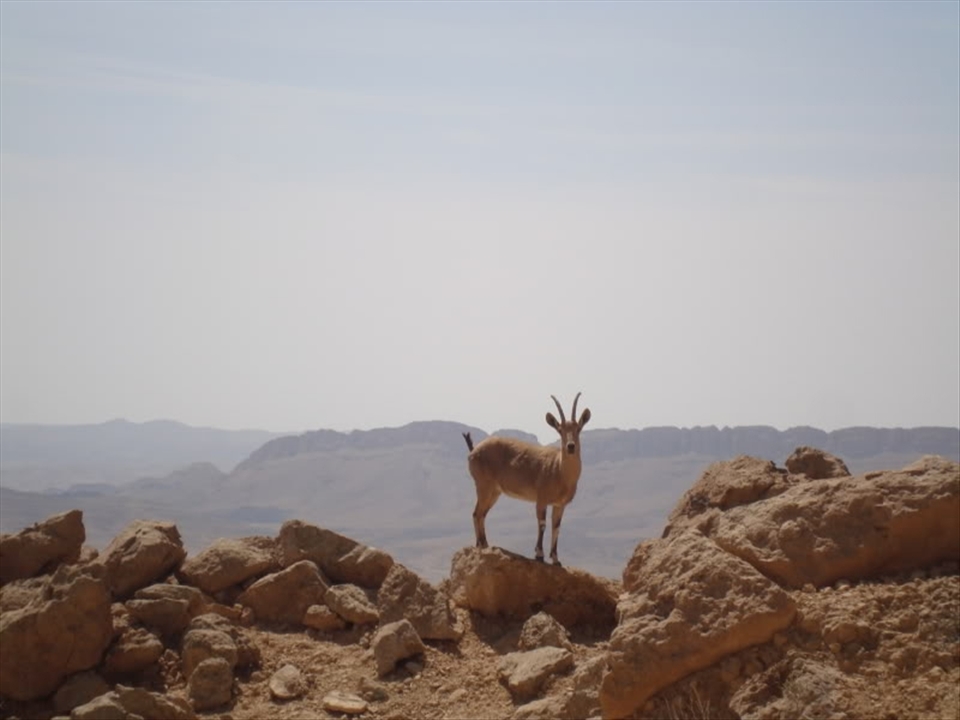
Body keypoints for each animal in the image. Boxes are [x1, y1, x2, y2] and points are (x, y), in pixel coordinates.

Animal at [462, 393, 591, 566]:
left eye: (578, 428)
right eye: (560, 430)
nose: (570, 446)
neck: (559, 470)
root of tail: (473, 450)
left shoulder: (560, 504)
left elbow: (556, 527)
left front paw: (556, 559)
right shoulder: (541, 499)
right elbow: (542, 524)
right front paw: (539, 555)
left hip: (494, 492)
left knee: (481, 514)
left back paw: (483, 544)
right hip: (483, 486)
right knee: (476, 513)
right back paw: (482, 545)